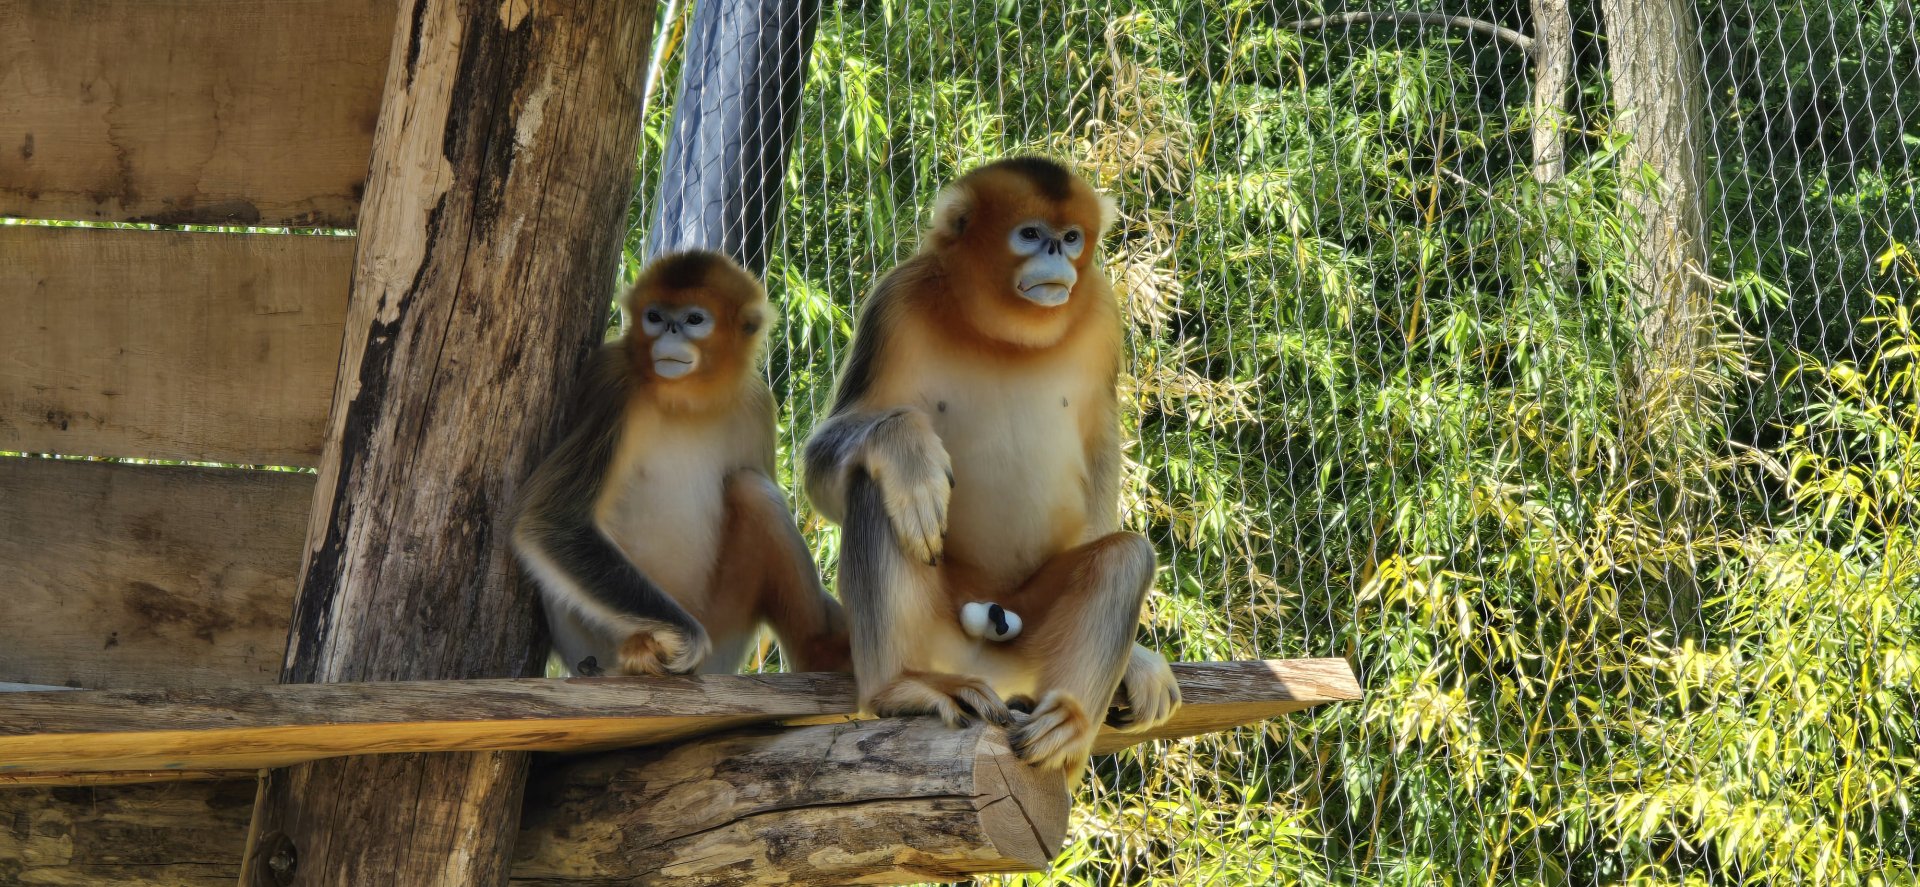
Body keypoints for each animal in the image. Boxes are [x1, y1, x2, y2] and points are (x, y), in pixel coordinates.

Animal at [513, 250, 850, 678]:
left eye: (693, 320)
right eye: (655, 317)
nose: (669, 332)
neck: (685, 401)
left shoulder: (756, 403)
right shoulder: (613, 381)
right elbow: (555, 523)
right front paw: (681, 642)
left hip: (726, 632)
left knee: (751, 488)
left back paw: (822, 652)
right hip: (592, 639)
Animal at [803, 157, 1181, 777]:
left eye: (1070, 237)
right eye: (1029, 234)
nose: (1055, 254)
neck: (1008, 335)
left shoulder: (1102, 315)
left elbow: (1102, 453)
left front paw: (1138, 664)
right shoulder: (895, 301)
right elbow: (825, 469)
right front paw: (908, 453)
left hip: (1032, 636)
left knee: (1126, 557)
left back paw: (1068, 725)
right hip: (934, 630)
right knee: (878, 488)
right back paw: (902, 687)